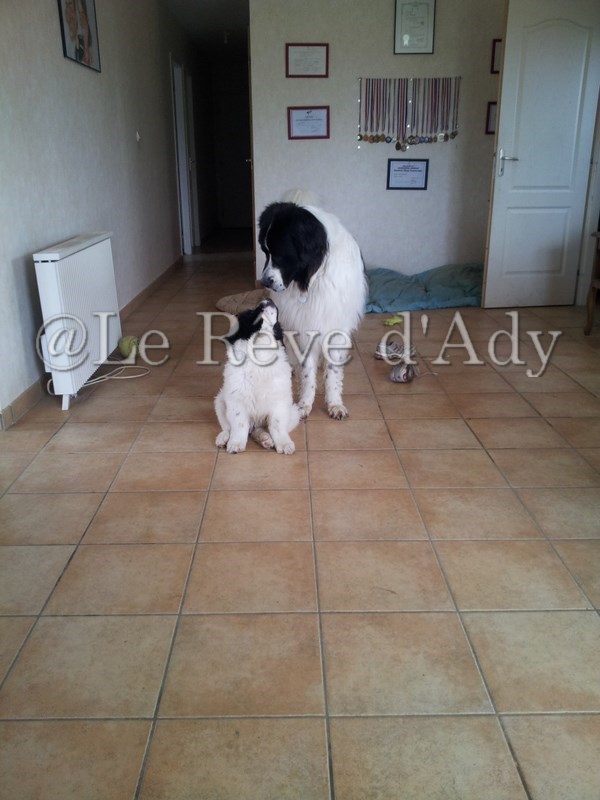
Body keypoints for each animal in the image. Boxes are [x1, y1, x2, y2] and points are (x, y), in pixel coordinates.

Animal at [215, 299, 300, 454]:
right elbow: (239, 424)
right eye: (252, 312)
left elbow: (277, 425)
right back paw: (223, 438)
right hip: (220, 400)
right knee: (227, 426)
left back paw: (266, 439)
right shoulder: (237, 399)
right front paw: (236, 443)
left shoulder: (279, 399)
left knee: (261, 429)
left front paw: (284, 444)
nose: (267, 300)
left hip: (294, 412)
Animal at [258, 191, 367, 420]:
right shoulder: (303, 326)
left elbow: (333, 373)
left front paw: (334, 403)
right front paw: (304, 404)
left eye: (280, 254)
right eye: (265, 252)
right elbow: (307, 372)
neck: (314, 278)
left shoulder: (334, 325)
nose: (264, 282)